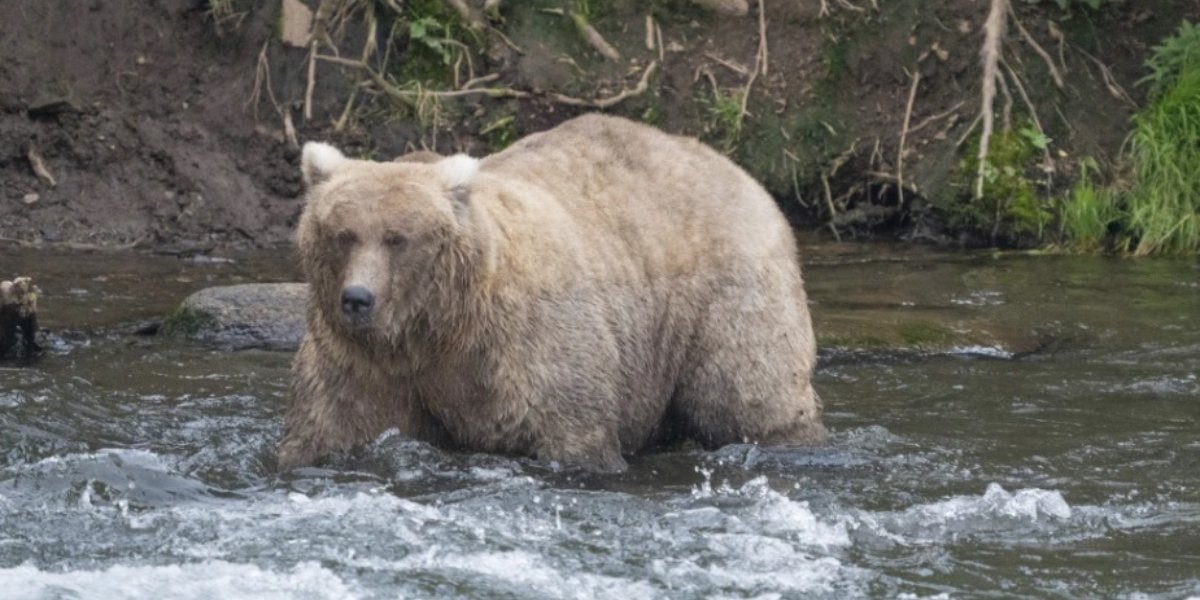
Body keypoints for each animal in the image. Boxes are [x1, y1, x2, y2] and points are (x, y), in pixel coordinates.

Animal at [278, 111, 825, 468]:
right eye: (343, 234)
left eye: (397, 238)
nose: (358, 299)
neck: (438, 327)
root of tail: (736, 169)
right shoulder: (362, 362)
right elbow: (332, 427)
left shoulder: (525, 344)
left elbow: (570, 428)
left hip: (725, 294)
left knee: (746, 394)